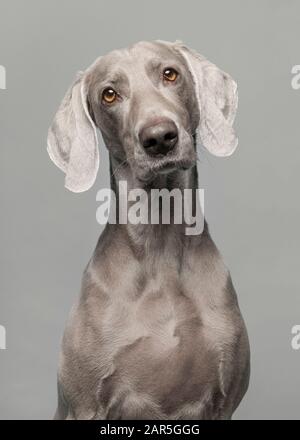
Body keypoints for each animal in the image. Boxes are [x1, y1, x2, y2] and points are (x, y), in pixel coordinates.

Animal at [48, 40, 251, 420]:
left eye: (170, 74)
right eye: (109, 94)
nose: (159, 138)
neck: (161, 248)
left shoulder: (225, 401)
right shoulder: (86, 404)